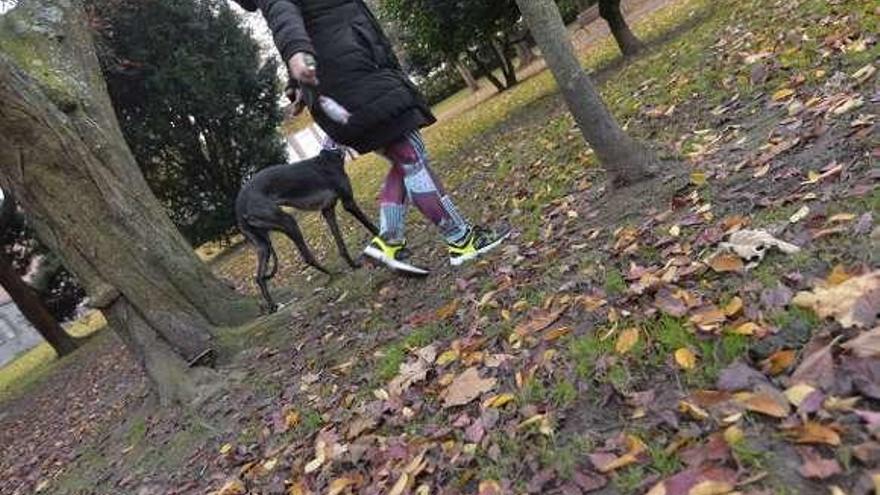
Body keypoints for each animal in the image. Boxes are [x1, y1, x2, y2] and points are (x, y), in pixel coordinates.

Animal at [237, 148, 378, 314]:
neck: (331, 156)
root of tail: (239, 208)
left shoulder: (328, 210)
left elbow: (341, 244)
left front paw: (353, 265)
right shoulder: (348, 202)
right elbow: (370, 225)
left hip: (263, 245)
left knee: (259, 277)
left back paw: (272, 306)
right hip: (288, 222)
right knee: (307, 257)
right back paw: (332, 274)